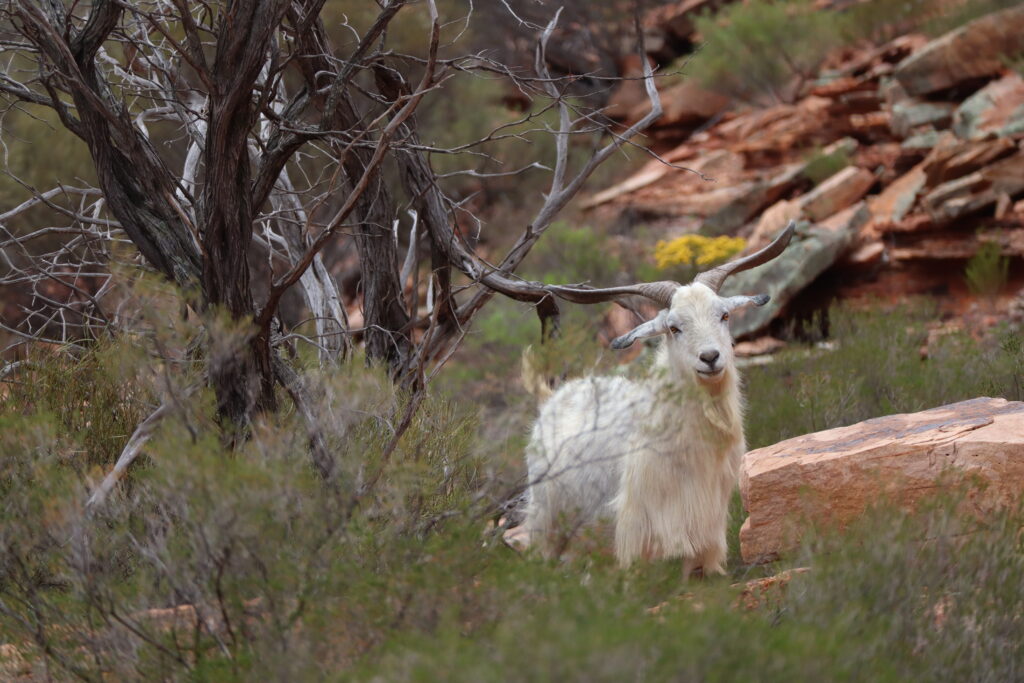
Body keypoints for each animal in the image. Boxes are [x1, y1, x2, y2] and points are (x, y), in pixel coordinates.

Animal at [520, 225, 790, 577]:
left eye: (724, 315)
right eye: (674, 327)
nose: (710, 358)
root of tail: (552, 396)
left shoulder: (707, 512)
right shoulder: (642, 515)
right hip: (547, 515)